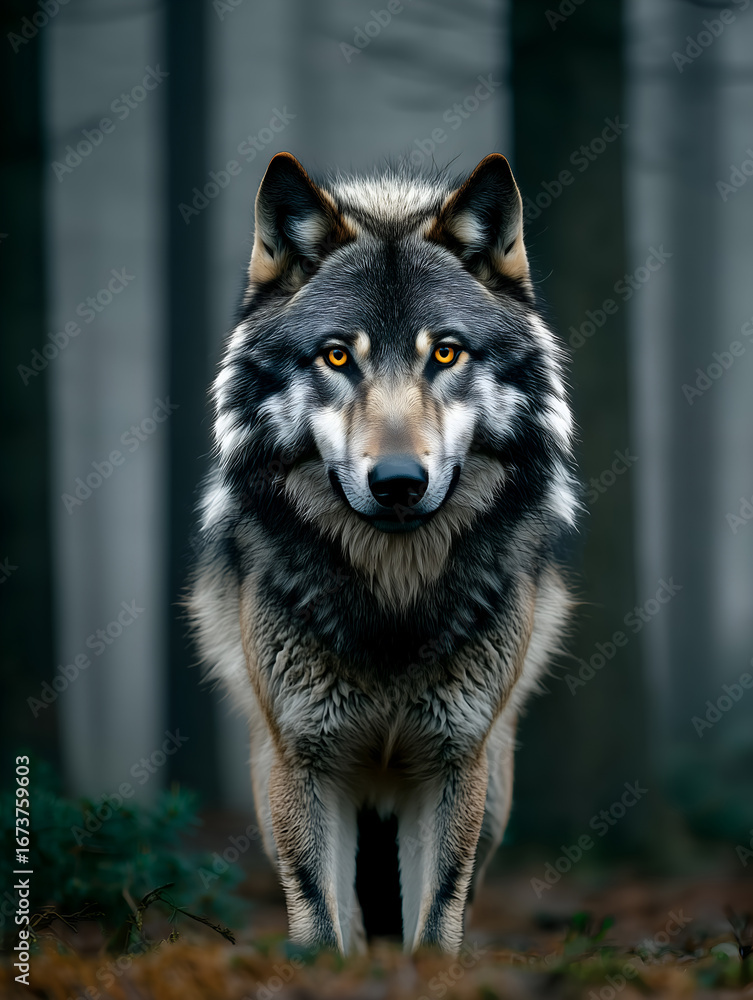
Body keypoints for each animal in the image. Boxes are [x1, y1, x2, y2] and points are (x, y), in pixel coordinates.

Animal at [189, 151, 579, 955]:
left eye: (445, 352)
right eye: (338, 355)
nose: (399, 482)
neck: (393, 604)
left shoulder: (455, 760)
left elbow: (436, 916)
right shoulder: (303, 758)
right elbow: (318, 915)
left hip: (495, 793)